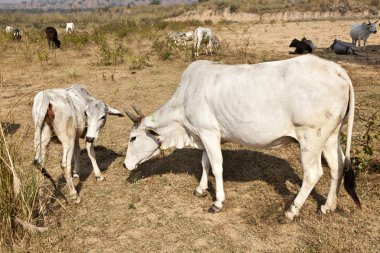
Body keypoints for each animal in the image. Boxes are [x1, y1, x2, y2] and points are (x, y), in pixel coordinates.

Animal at [124, 54, 360, 221]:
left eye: (133, 137)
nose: (126, 164)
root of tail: (336, 69)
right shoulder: (206, 134)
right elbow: (205, 162)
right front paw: (201, 189)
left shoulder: (208, 132)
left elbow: (216, 166)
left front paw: (217, 202)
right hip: (330, 137)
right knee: (337, 167)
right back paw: (328, 206)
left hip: (310, 139)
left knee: (313, 173)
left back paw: (291, 212)